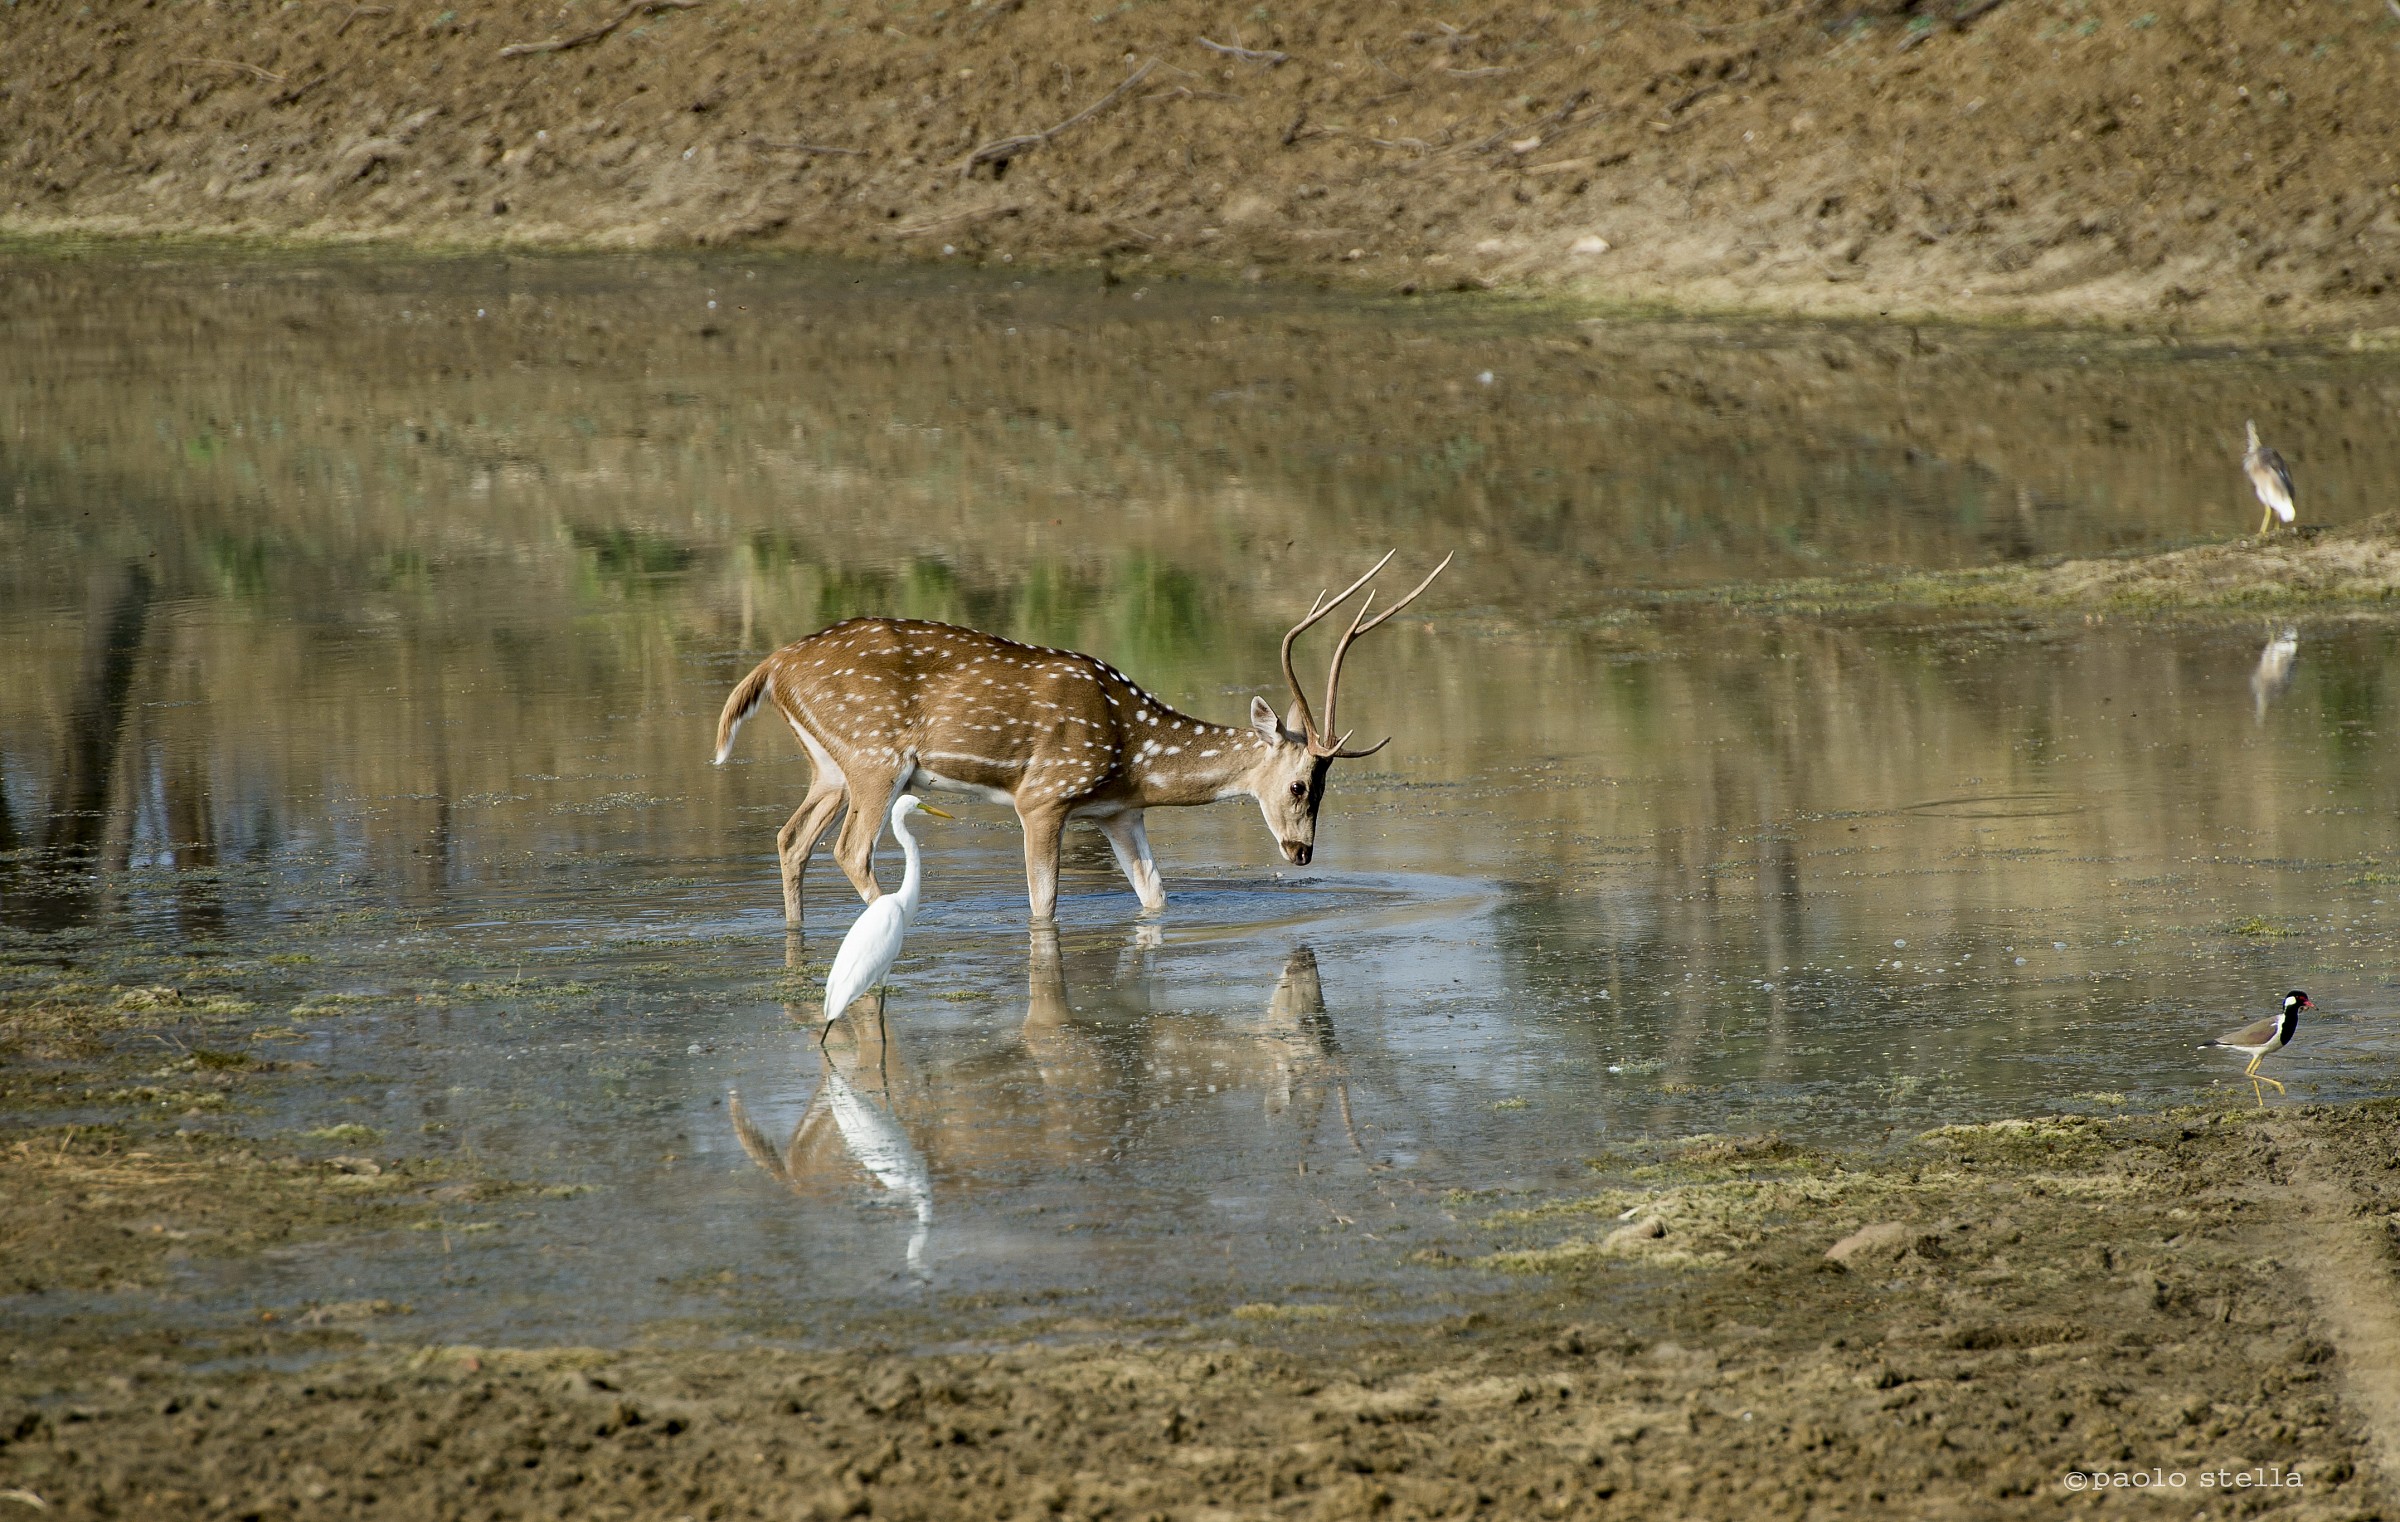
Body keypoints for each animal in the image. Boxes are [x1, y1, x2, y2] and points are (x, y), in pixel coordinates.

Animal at [712, 550, 1450, 925]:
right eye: (1300, 784)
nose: (1301, 854)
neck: (1133, 751)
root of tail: (773, 665)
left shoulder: (1119, 812)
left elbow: (1156, 896)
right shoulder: (1043, 796)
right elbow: (1044, 905)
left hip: (830, 766)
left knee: (791, 840)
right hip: (873, 758)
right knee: (849, 850)